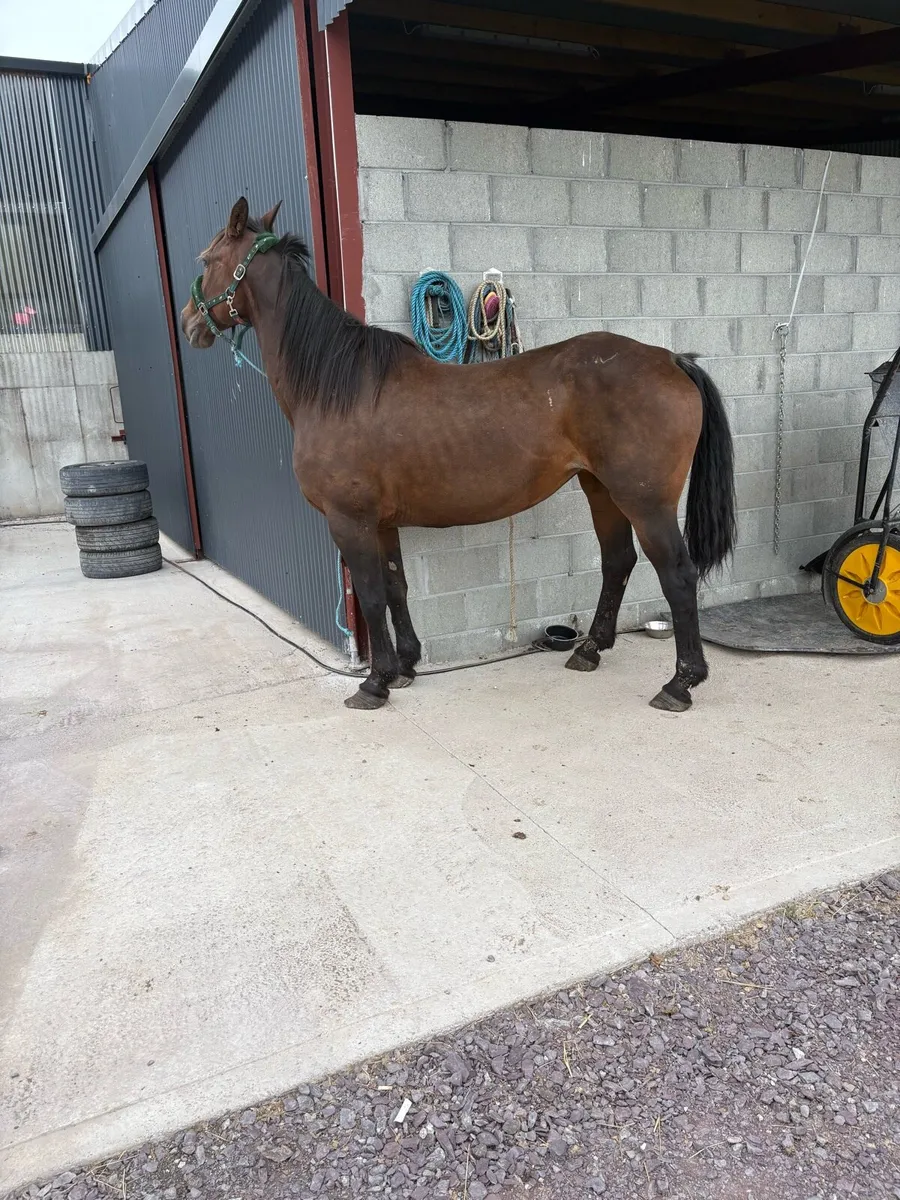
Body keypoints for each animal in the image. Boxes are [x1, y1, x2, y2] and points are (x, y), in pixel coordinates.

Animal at [181, 198, 735, 713]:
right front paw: (405, 666)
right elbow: (396, 586)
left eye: (206, 259)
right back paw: (590, 651)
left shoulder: (349, 521)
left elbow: (372, 595)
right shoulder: (381, 523)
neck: (339, 388)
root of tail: (672, 360)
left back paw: (680, 684)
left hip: (645, 501)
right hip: (600, 488)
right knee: (618, 561)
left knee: (677, 575)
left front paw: (374, 683)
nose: (189, 323)